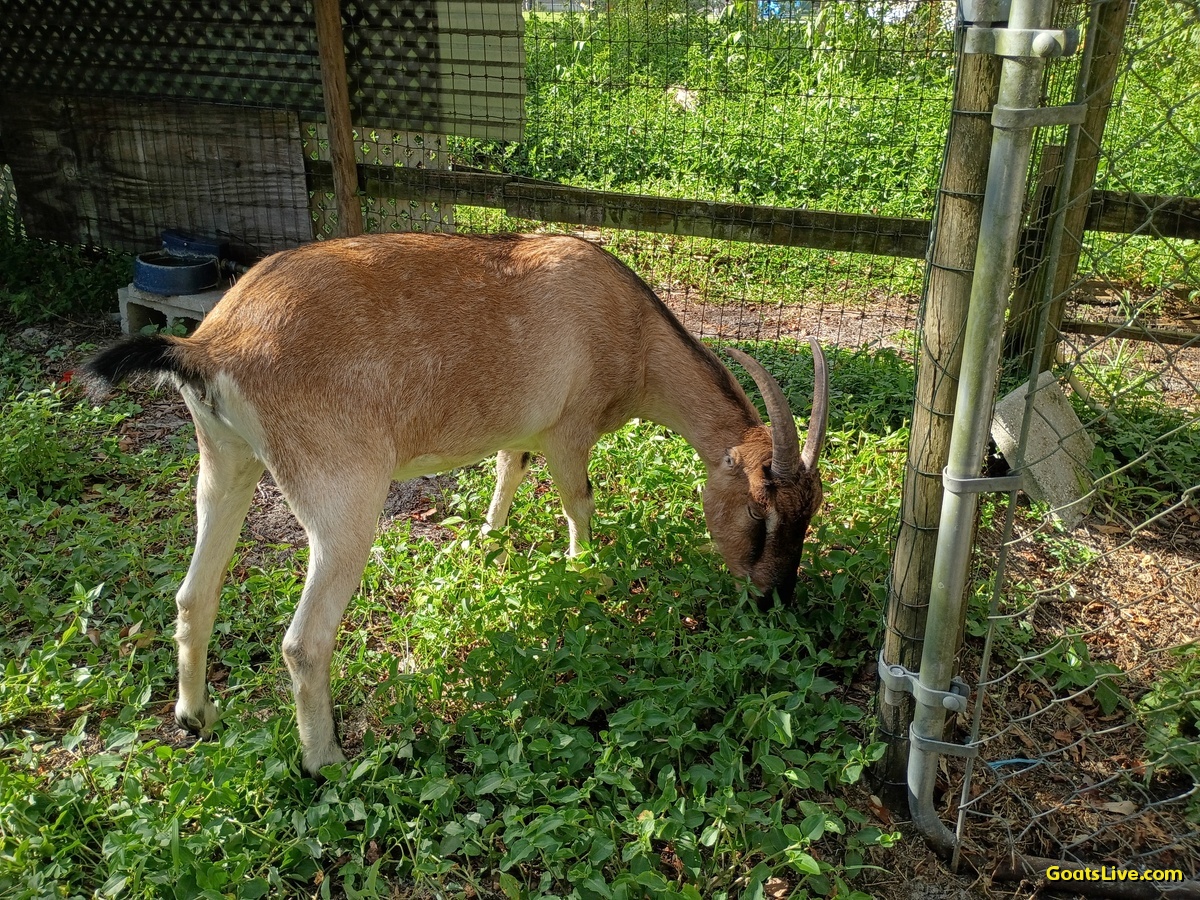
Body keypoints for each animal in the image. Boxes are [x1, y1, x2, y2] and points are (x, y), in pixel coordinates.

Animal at [83, 232, 829, 777]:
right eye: (761, 511)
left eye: (809, 513)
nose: (774, 596)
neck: (631, 328)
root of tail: (211, 345)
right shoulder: (569, 429)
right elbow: (578, 502)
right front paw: (585, 573)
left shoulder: (523, 430)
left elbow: (506, 471)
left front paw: (488, 544)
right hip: (342, 494)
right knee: (303, 641)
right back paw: (328, 761)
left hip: (224, 462)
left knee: (193, 593)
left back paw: (195, 717)